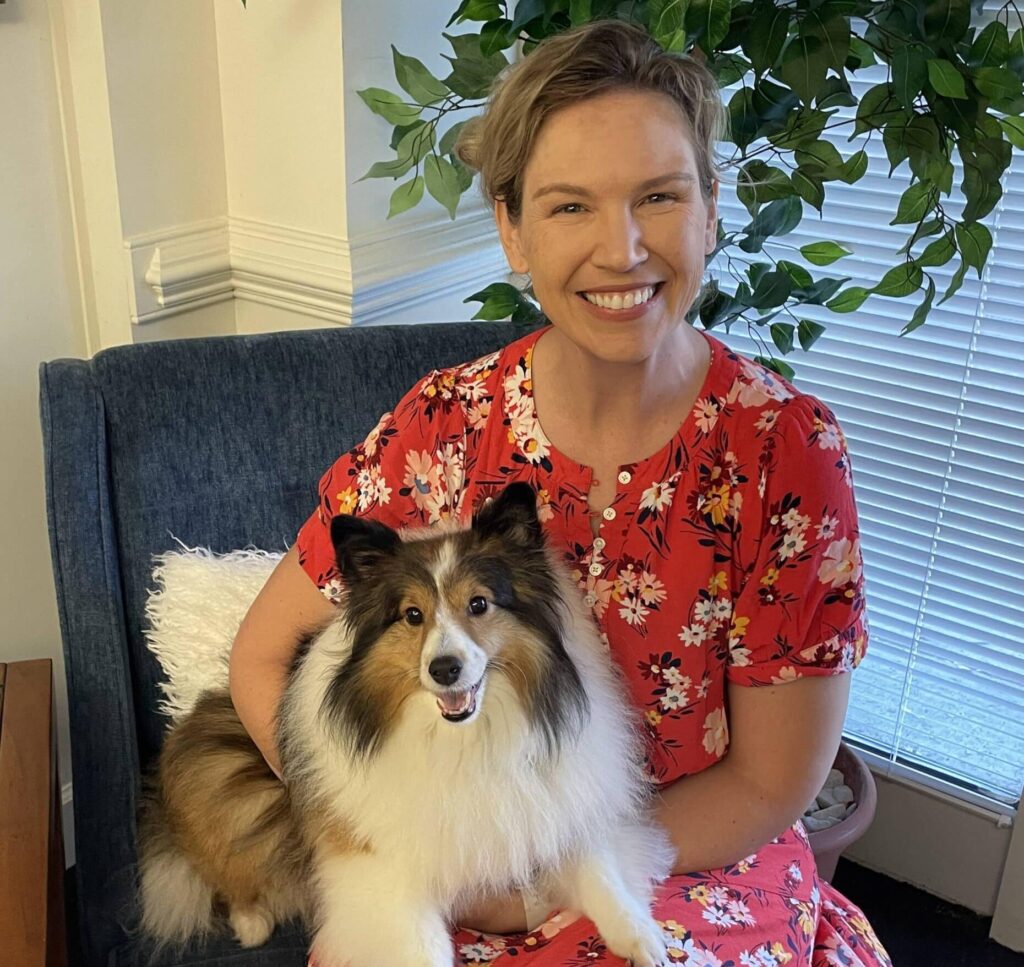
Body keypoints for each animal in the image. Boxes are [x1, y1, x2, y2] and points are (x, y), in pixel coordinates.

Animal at [140, 483, 675, 966]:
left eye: (479, 604)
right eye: (412, 615)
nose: (444, 669)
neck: (464, 741)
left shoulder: (558, 810)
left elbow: (603, 875)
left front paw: (644, 939)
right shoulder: (384, 877)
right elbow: (421, 950)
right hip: (226, 786)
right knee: (226, 869)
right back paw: (252, 923)